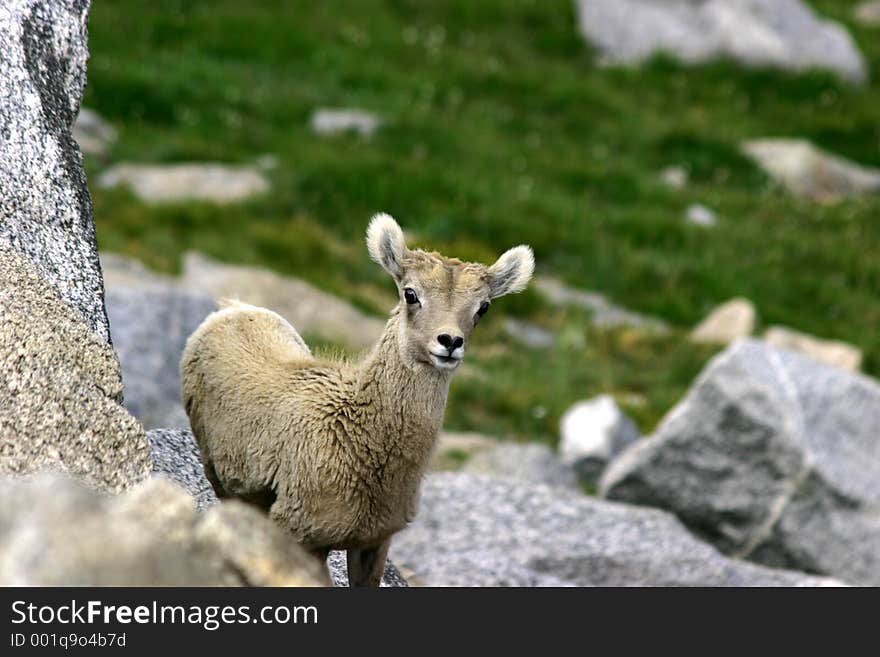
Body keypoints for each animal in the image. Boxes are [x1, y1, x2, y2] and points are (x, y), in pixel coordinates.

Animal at [182, 214, 532, 584]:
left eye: (483, 307)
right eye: (411, 294)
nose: (450, 341)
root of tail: (231, 309)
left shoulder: (374, 543)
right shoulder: (303, 537)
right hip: (217, 475)